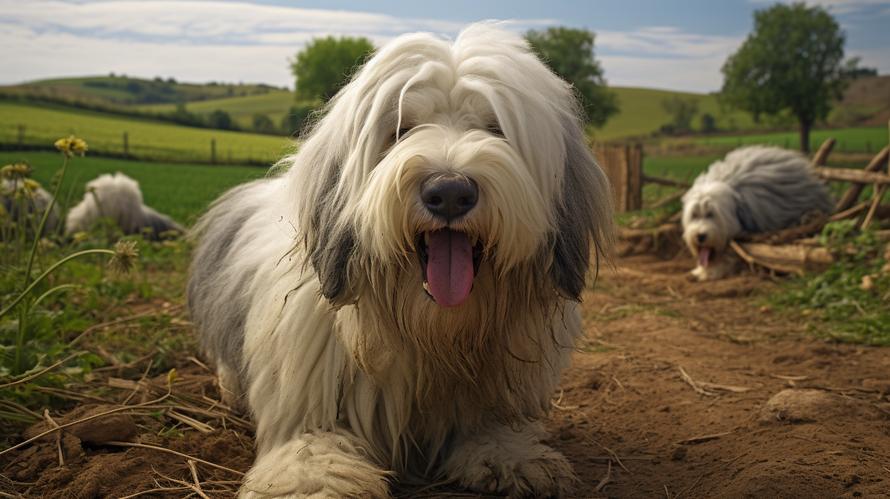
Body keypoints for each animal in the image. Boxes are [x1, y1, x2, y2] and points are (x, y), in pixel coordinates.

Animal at [186, 22, 612, 499]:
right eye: (400, 129)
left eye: (496, 127)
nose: (449, 192)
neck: (432, 331)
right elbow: (311, 448)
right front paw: (316, 480)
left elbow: (492, 427)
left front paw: (512, 456)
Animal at [680, 146, 832, 284]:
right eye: (694, 215)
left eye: (711, 214)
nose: (700, 236)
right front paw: (700, 271)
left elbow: (732, 254)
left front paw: (708, 272)